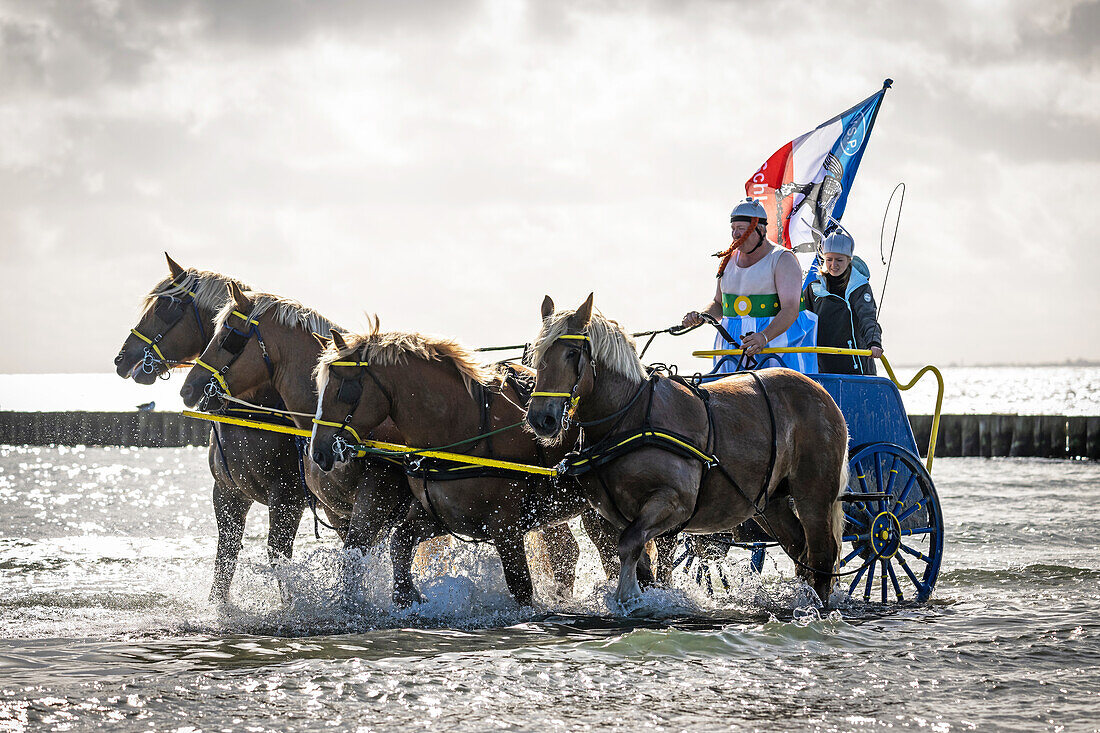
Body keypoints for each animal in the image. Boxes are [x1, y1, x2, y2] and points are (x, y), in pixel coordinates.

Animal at [117, 254, 327, 603]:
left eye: (164, 307)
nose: (121, 359)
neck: (258, 411)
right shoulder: (228, 493)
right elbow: (225, 557)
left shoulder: (288, 497)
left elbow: (280, 558)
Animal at [312, 325, 620, 603]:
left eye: (343, 390)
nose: (318, 452)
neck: (462, 426)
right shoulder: (442, 516)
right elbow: (399, 543)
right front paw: (406, 597)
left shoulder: (506, 527)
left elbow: (520, 585)